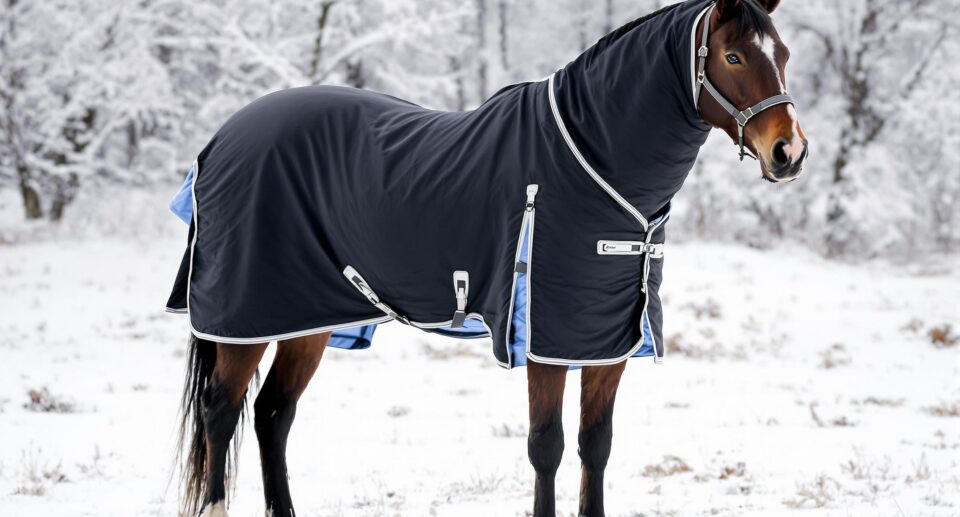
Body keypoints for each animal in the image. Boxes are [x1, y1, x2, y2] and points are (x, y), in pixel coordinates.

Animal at [169, 0, 808, 515]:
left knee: (273, 415)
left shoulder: (605, 346)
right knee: (221, 411)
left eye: (782, 54)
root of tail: (220, 140)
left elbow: (595, 448)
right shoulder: (545, 344)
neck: (590, 161)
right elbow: (547, 448)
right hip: (244, 320)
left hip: (309, 319)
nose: (790, 151)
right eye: (731, 55)